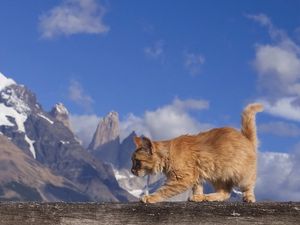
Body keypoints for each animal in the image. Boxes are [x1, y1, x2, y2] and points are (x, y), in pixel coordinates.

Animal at [131, 103, 262, 203]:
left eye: (137, 162)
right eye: (132, 161)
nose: (132, 170)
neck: (169, 154)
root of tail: (246, 138)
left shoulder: (182, 178)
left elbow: (163, 190)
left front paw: (150, 197)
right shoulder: (196, 174)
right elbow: (197, 187)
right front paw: (198, 196)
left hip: (242, 175)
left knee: (248, 186)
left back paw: (249, 197)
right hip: (218, 176)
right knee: (225, 193)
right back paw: (208, 197)